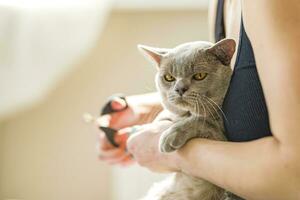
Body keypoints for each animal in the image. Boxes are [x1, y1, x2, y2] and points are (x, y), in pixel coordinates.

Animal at [137, 39, 238, 200]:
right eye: (169, 78)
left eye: (199, 75)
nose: (179, 89)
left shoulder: (222, 137)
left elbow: (201, 122)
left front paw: (169, 136)